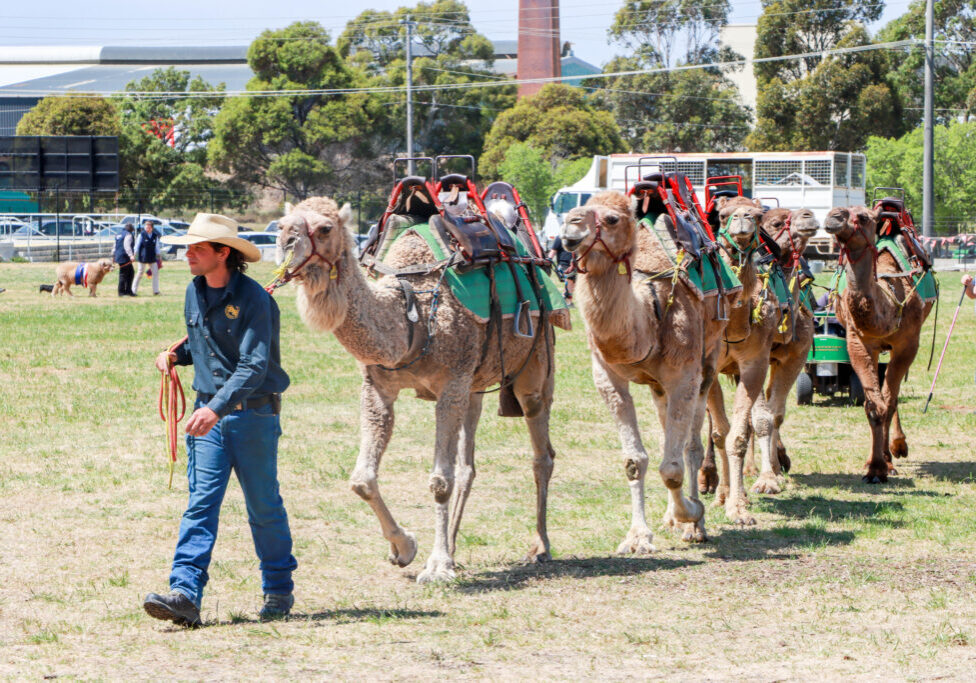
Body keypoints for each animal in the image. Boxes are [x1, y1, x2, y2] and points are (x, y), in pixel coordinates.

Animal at [275, 196, 569, 582]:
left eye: (325, 228)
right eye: (281, 224)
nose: (285, 243)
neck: (410, 314)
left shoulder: (450, 384)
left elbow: (439, 480)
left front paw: (438, 566)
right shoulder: (378, 388)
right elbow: (362, 479)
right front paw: (406, 549)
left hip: (535, 362)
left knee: (541, 453)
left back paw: (540, 547)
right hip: (475, 385)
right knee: (468, 465)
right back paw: (456, 548)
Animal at [560, 190, 737, 546]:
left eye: (612, 218)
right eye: (574, 209)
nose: (570, 227)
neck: (649, 311)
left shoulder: (685, 375)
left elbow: (674, 463)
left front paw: (693, 514)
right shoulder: (608, 378)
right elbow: (634, 460)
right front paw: (638, 535)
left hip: (708, 361)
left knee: (691, 444)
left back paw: (693, 523)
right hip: (658, 386)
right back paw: (671, 517)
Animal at [824, 206, 933, 483]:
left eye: (863, 217)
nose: (833, 215)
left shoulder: (908, 345)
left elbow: (889, 401)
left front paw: (884, 463)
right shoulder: (858, 343)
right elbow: (874, 406)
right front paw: (874, 467)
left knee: (892, 395)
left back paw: (897, 447)